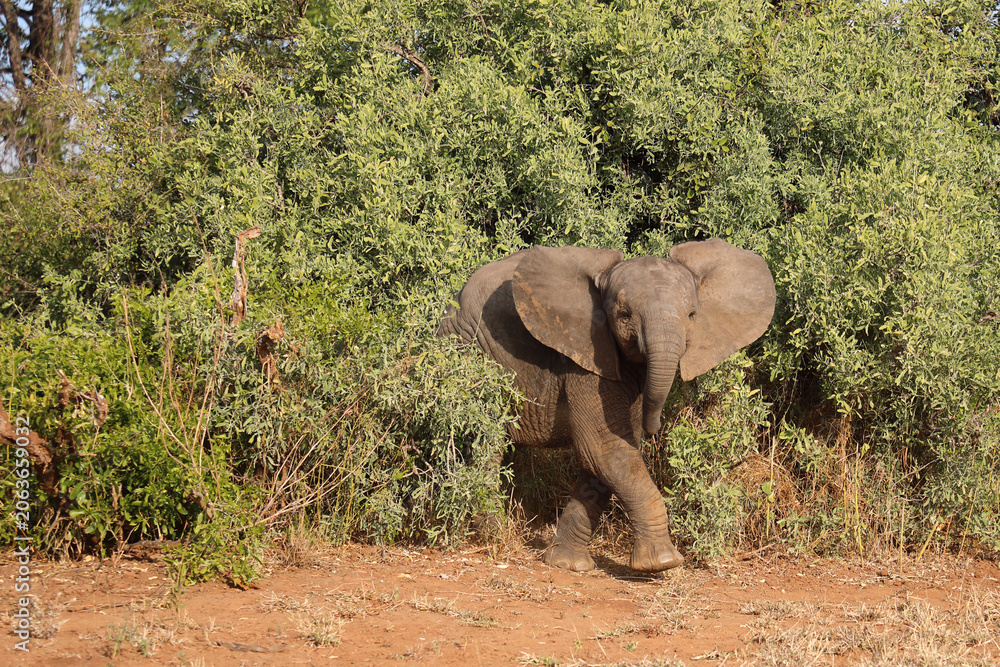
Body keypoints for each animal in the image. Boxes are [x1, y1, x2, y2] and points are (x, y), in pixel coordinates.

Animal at [437, 238, 776, 573]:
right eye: (623, 314)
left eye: (692, 315)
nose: (655, 428)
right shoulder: (585, 357)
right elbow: (603, 446)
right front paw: (662, 563)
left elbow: (611, 456)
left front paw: (567, 564)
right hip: (469, 349)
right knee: (485, 444)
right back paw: (492, 535)